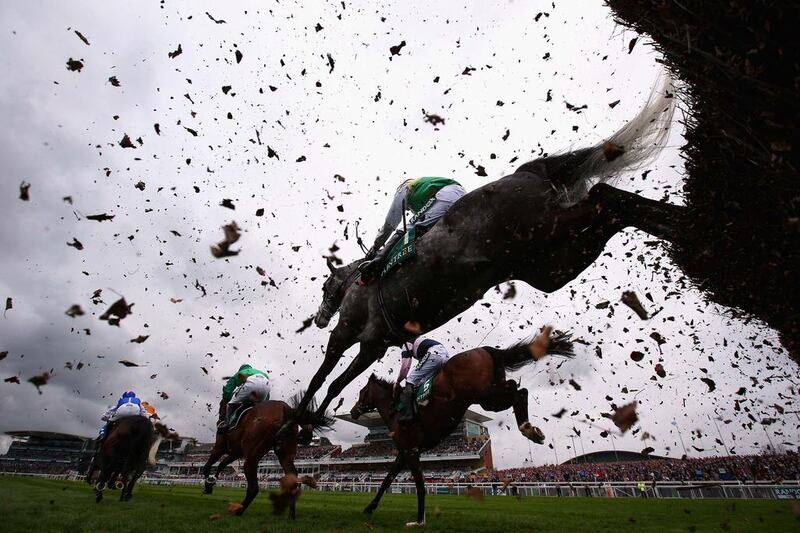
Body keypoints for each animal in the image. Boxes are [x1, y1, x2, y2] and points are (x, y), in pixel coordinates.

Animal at [203, 394, 334, 516]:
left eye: (221, 404)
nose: (220, 418)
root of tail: (287, 409)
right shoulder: (235, 452)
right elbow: (221, 464)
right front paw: (210, 483)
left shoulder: (220, 447)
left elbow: (208, 465)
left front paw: (208, 483)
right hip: (284, 451)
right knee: (292, 477)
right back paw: (291, 515)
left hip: (252, 456)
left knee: (254, 487)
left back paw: (239, 510)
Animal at [354, 326, 572, 524]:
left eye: (361, 392)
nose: (354, 410)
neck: (395, 411)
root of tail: (486, 349)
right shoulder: (403, 453)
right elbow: (387, 480)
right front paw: (369, 508)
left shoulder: (411, 451)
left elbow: (419, 485)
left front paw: (419, 519)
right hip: (490, 397)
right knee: (519, 390)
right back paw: (530, 429)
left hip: (484, 394)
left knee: (518, 391)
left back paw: (527, 428)